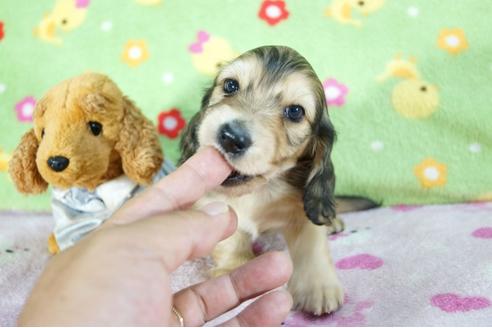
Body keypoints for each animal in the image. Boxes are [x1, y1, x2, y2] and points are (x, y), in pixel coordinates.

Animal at [179, 44, 374, 314]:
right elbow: (230, 236)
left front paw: (318, 286)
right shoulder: (211, 200)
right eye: (230, 85)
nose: (231, 137)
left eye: (295, 111)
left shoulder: (301, 208)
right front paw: (236, 267)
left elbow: (311, 243)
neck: (257, 191)